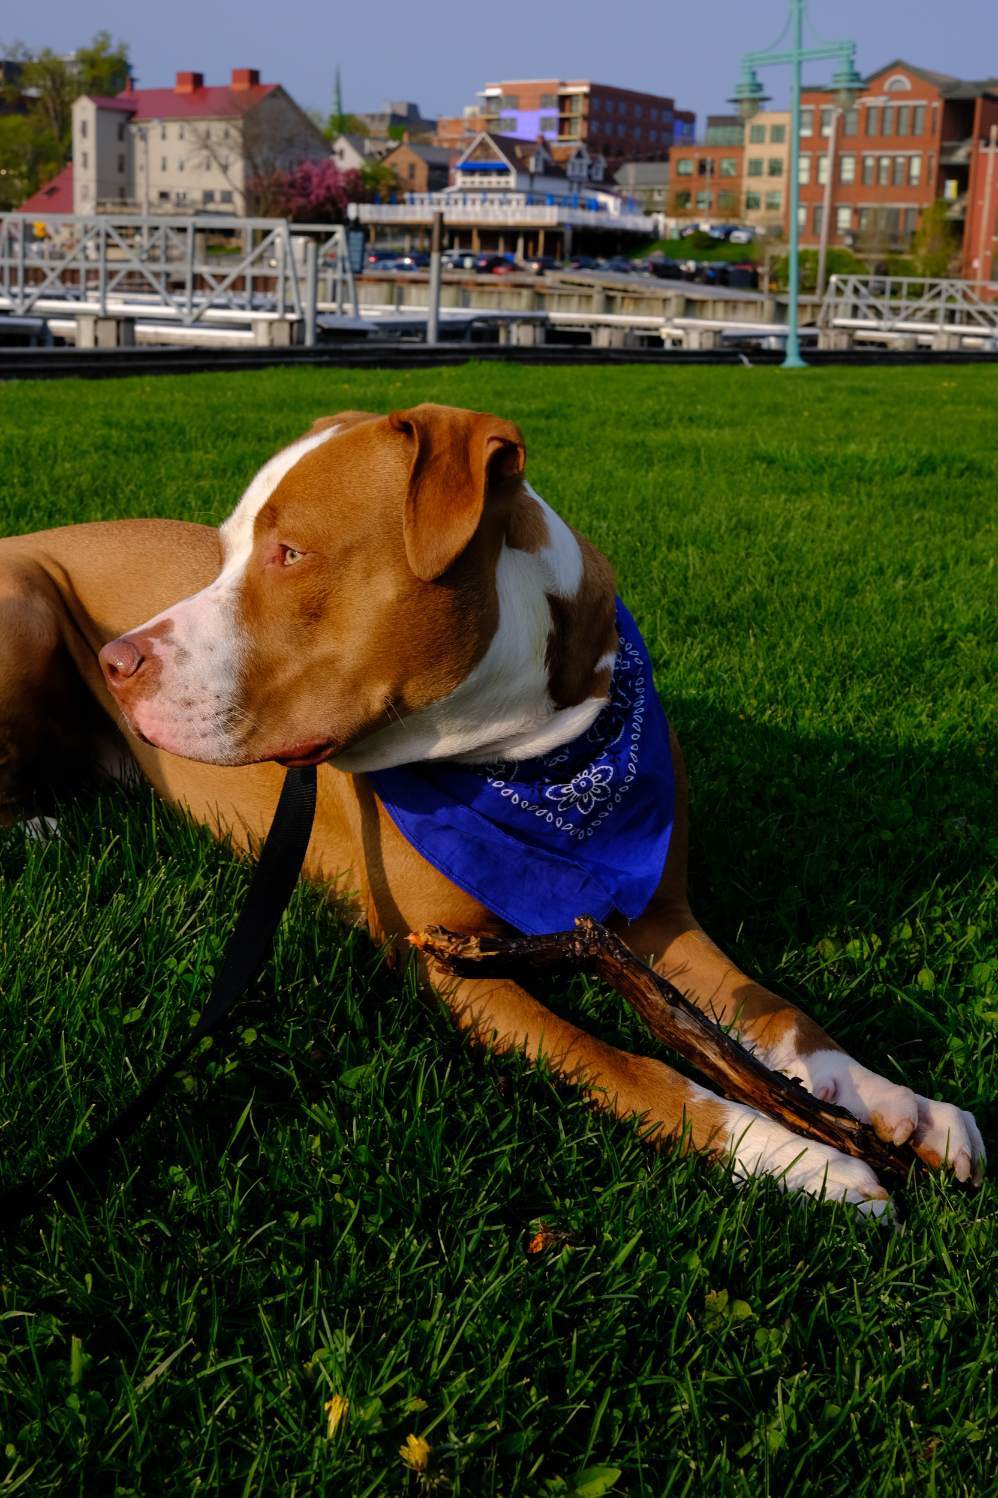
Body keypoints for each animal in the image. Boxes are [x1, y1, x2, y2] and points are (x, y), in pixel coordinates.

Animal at [0, 401, 977, 1216]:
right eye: (228, 548)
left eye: (290, 553)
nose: (119, 662)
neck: (533, 757)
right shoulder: (448, 965)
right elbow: (624, 1062)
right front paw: (788, 1153)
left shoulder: (657, 919)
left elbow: (776, 1013)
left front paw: (893, 1099)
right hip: (25, 604)